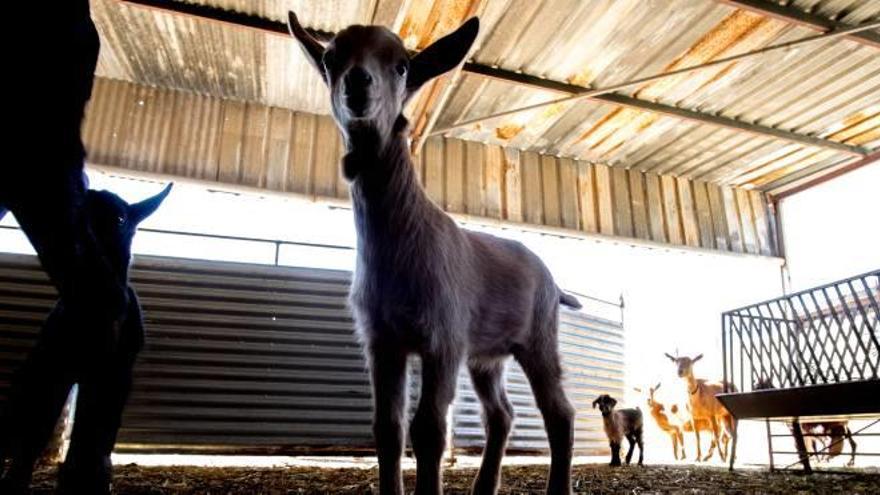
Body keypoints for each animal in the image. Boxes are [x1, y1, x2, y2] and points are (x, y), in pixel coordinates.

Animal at [286, 12, 580, 495]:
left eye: (403, 65)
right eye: (329, 59)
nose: (358, 82)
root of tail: (554, 283)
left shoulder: (443, 336)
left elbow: (428, 430)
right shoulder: (382, 341)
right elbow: (387, 430)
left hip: (538, 336)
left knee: (560, 412)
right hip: (486, 356)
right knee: (501, 414)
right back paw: (484, 486)